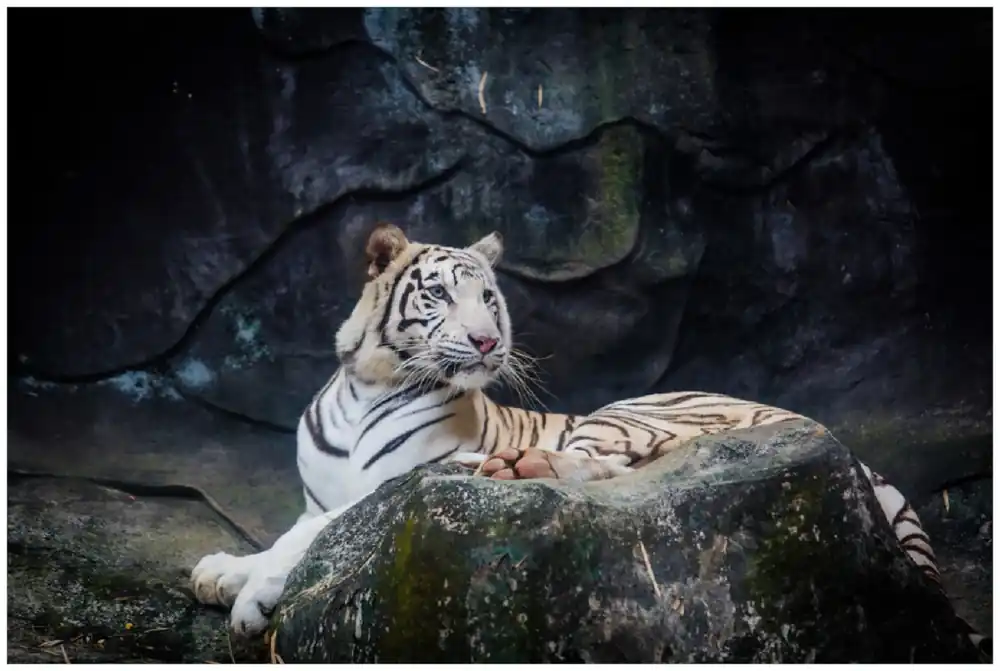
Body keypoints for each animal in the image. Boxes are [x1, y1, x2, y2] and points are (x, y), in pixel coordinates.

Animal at [190, 223, 988, 657]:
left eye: (488, 297)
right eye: (441, 293)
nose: (487, 340)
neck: (367, 386)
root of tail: (840, 440)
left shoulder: (400, 479)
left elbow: (315, 536)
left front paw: (252, 599)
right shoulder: (314, 496)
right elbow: (292, 532)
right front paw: (223, 571)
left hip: (629, 411)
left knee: (603, 463)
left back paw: (513, 463)